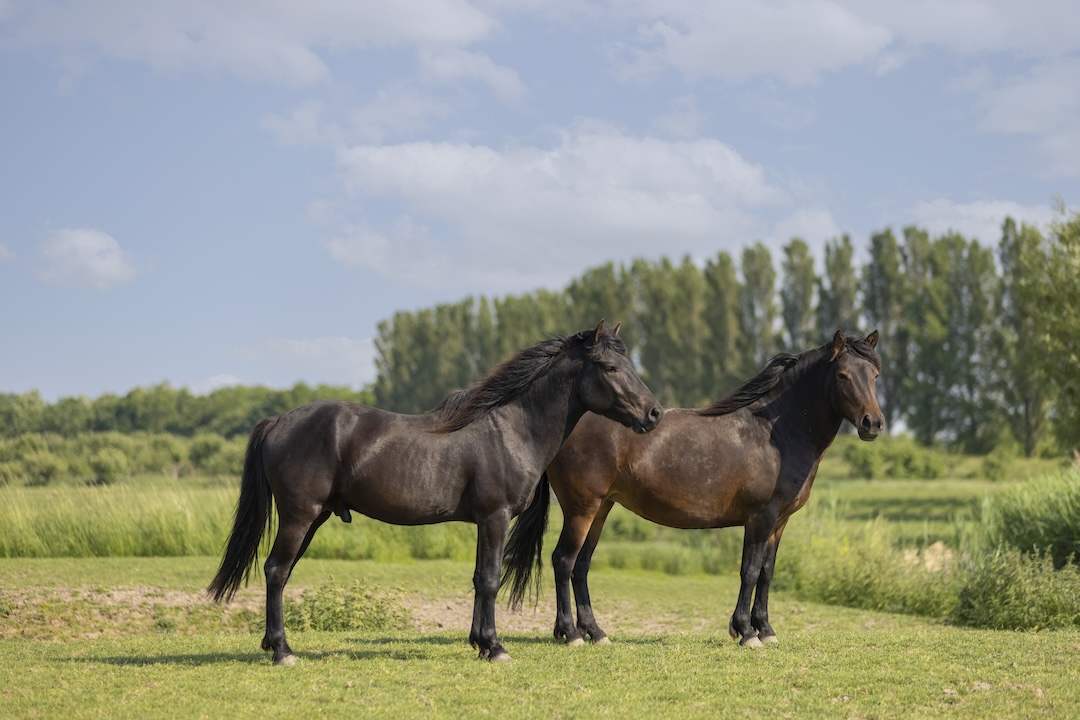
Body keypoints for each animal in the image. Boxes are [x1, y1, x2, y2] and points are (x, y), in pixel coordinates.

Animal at [208, 320, 663, 664]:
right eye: (609, 367)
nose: (654, 413)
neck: (511, 429)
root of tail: (278, 420)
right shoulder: (495, 517)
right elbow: (491, 579)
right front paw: (495, 647)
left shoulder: (485, 521)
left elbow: (479, 578)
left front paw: (479, 643)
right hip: (300, 517)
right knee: (275, 571)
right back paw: (283, 651)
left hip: (312, 519)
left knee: (280, 573)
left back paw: (273, 644)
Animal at [502, 330, 883, 648]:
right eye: (843, 375)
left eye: (875, 375)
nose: (874, 423)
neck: (773, 434)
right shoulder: (760, 518)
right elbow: (749, 570)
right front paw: (746, 633)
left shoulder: (780, 522)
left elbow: (767, 573)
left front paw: (765, 629)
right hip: (582, 508)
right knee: (563, 561)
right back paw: (571, 634)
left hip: (601, 508)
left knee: (580, 565)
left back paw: (595, 632)